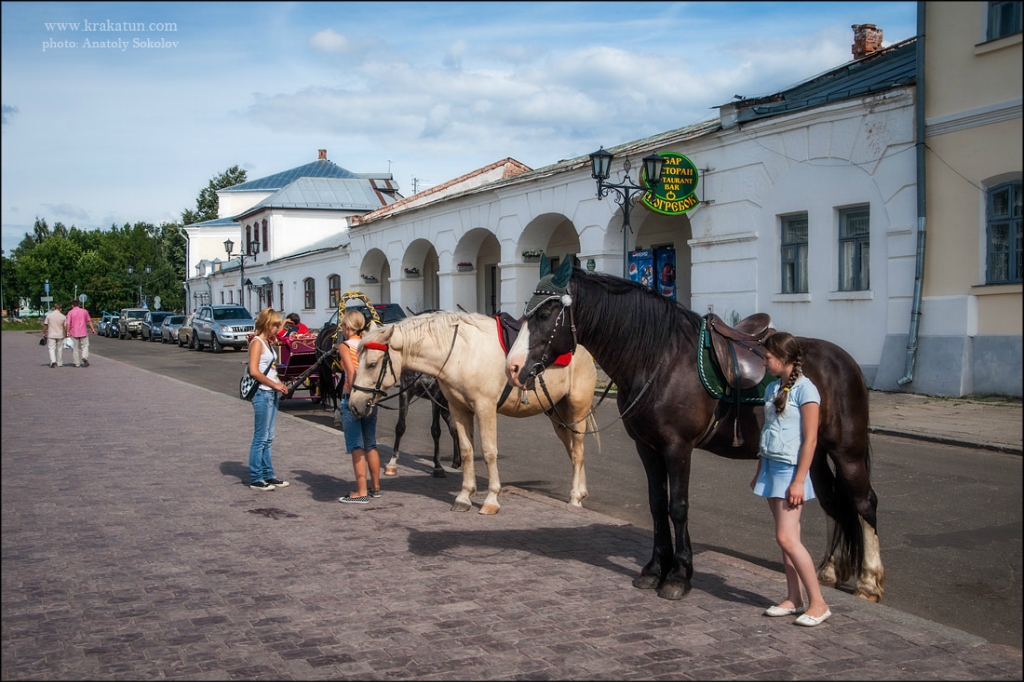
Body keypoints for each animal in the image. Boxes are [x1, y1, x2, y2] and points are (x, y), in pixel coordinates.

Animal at [348, 311, 598, 512]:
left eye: (371, 364)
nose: (354, 404)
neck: (462, 353)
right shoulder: (459, 409)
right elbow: (467, 450)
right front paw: (464, 496)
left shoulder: (485, 408)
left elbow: (488, 452)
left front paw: (491, 499)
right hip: (557, 414)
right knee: (575, 449)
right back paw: (582, 493)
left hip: (576, 409)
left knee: (578, 451)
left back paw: (574, 498)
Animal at [507, 256, 884, 602]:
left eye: (545, 313)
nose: (513, 368)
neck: (658, 359)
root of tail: (844, 360)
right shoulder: (647, 446)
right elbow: (657, 503)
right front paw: (655, 569)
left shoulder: (678, 446)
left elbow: (678, 506)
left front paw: (678, 576)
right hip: (814, 453)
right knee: (834, 503)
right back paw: (830, 571)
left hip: (846, 450)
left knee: (864, 502)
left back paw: (869, 581)